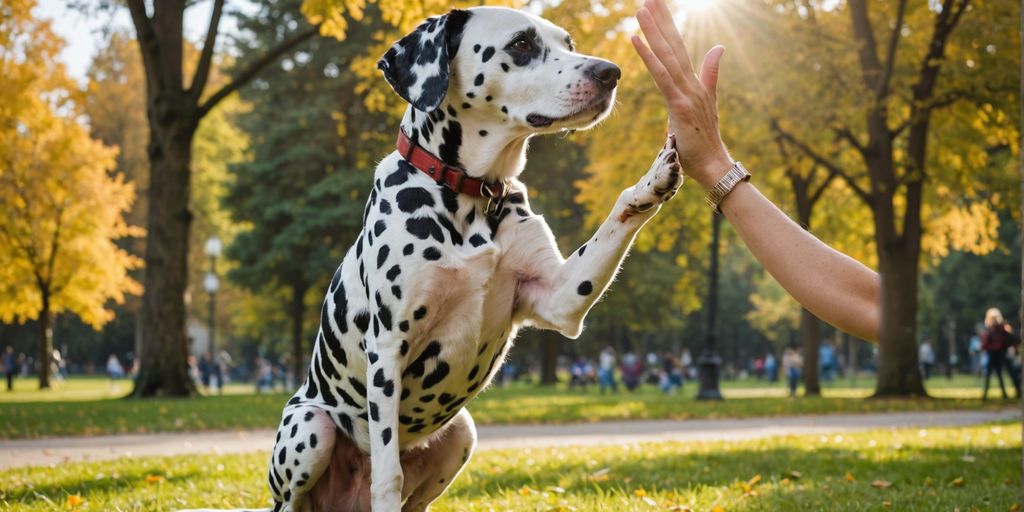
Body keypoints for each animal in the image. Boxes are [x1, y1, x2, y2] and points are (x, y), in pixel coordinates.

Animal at [184, 4, 679, 512]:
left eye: (569, 43)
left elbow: (620, 214)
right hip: (310, 429)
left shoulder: (562, 298)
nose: (610, 72)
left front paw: (654, 177)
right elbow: (387, 474)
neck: (473, 195)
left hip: (462, 432)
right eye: (522, 44)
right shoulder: (389, 349)